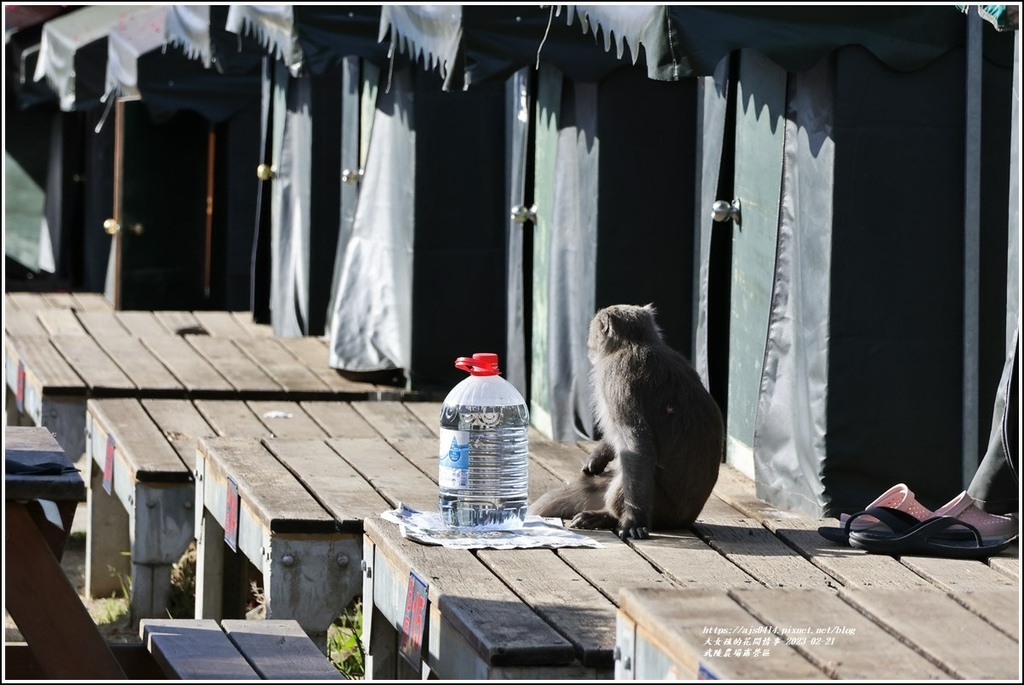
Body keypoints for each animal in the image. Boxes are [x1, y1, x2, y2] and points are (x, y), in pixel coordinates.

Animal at [532, 305, 724, 540]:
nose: (589, 346)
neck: (637, 342)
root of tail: (686, 519)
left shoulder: (614, 377)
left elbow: (635, 446)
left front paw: (633, 520)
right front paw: (598, 456)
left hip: (661, 509)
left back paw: (609, 517)